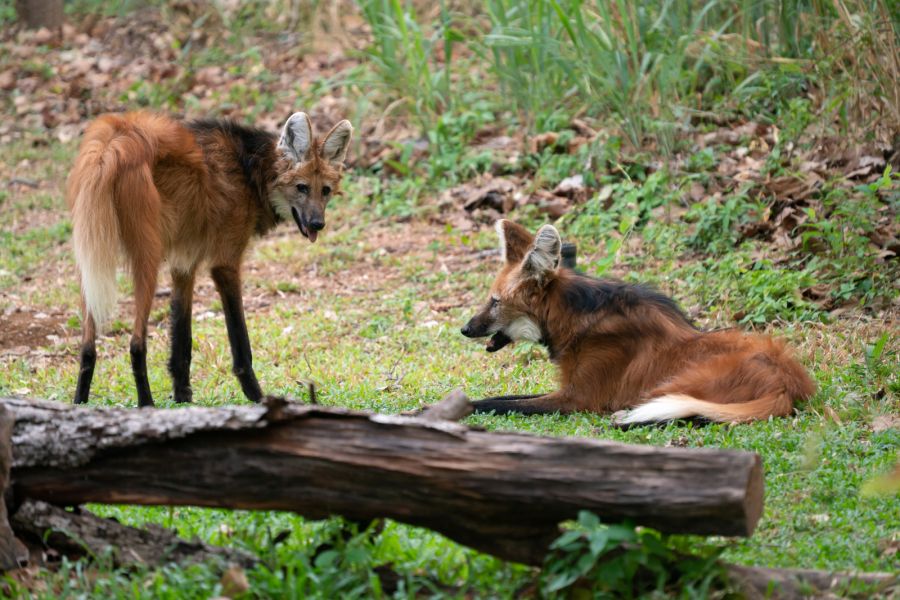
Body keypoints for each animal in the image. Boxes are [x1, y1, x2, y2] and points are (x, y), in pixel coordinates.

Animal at [67, 109, 354, 408]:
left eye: (325, 190)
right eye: (301, 187)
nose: (318, 223)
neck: (251, 171)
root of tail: (117, 138)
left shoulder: (184, 263)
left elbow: (182, 339)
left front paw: (182, 398)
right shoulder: (225, 263)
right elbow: (240, 342)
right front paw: (258, 398)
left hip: (92, 254)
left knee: (87, 344)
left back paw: (79, 403)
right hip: (146, 257)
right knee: (135, 343)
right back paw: (146, 405)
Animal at [464, 218, 816, 424]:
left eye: (494, 302)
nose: (464, 329)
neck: (579, 321)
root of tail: (788, 382)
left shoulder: (578, 398)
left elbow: (497, 402)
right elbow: (505, 399)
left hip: (675, 383)